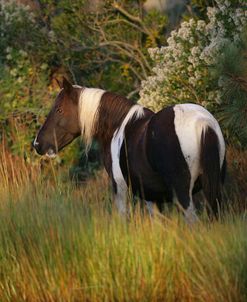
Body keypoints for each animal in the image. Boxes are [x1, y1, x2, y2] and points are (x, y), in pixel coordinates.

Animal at [33, 76, 227, 223]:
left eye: (59, 110)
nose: (37, 144)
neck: (116, 127)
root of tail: (202, 123)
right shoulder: (152, 198)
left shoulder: (121, 189)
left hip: (183, 195)